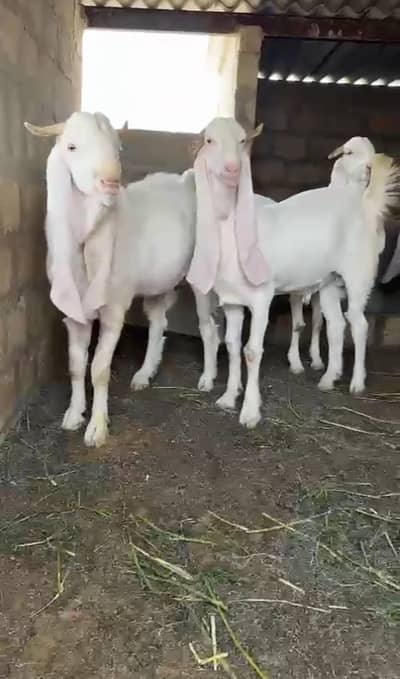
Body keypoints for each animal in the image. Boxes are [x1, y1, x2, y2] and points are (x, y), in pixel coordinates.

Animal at [26, 113, 219, 447]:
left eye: (118, 148)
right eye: (71, 146)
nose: (111, 182)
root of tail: (187, 180)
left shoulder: (114, 308)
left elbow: (99, 369)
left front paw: (97, 428)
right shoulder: (73, 312)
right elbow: (76, 366)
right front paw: (74, 414)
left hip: (200, 274)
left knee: (208, 328)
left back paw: (207, 379)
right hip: (158, 279)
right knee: (158, 322)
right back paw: (144, 374)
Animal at [187, 118, 399, 428]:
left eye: (242, 141)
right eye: (209, 140)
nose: (232, 168)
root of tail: (365, 204)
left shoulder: (261, 298)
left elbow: (252, 352)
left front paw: (250, 412)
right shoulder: (233, 302)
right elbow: (232, 345)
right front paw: (228, 397)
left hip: (358, 275)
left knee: (359, 324)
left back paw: (357, 383)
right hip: (330, 282)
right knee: (336, 325)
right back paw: (328, 378)